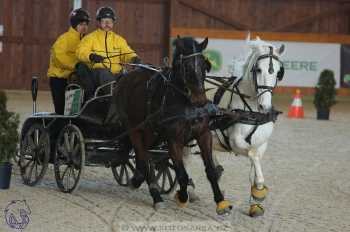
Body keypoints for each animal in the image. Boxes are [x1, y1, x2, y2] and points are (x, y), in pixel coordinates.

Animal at [108, 35, 231, 215]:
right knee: (144, 157)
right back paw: (156, 196)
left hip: (150, 133)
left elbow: (211, 171)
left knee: (143, 158)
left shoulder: (203, 134)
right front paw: (182, 196)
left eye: (204, 65)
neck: (186, 103)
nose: (200, 101)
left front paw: (221, 202)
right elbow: (182, 174)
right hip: (134, 129)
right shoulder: (173, 139)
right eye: (186, 67)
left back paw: (137, 180)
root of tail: (125, 77)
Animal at [183, 35, 284, 218]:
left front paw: (255, 203)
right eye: (258, 70)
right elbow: (253, 156)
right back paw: (189, 191)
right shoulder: (236, 142)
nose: (265, 106)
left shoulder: (261, 144)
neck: (253, 110)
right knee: (185, 159)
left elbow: (255, 165)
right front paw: (260, 192)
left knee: (209, 159)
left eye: (278, 72)